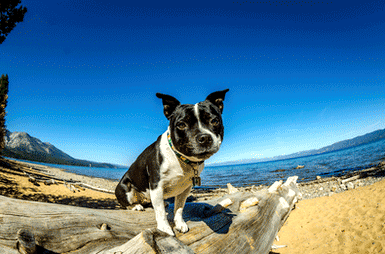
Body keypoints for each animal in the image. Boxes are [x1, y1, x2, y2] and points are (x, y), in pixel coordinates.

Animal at [114, 89, 228, 236]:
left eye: (214, 121)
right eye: (181, 125)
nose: (204, 137)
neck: (181, 159)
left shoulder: (185, 189)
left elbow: (179, 208)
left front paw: (180, 223)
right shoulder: (156, 186)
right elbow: (161, 213)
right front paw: (164, 228)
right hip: (125, 189)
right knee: (127, 204)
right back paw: (136, 206)